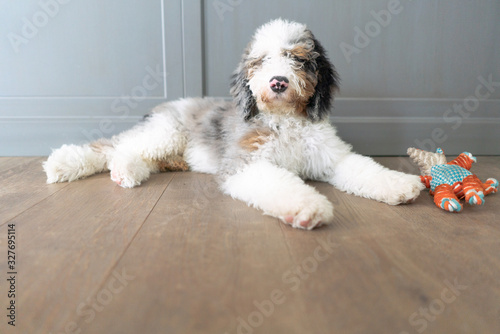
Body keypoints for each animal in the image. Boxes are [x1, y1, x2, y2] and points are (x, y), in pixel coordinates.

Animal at [45, 18, 424, 230]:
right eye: (261, 61)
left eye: (297, 59)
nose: (278, 82)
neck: (284, 121)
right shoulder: (246, 162)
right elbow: (281, 184)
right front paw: (308, 207)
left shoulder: (331, 157)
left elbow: (364, 168)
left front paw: (399, 185)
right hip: (166, 131)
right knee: (110, 147)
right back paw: (66, 164)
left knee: (134, 155)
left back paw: (127, 172)